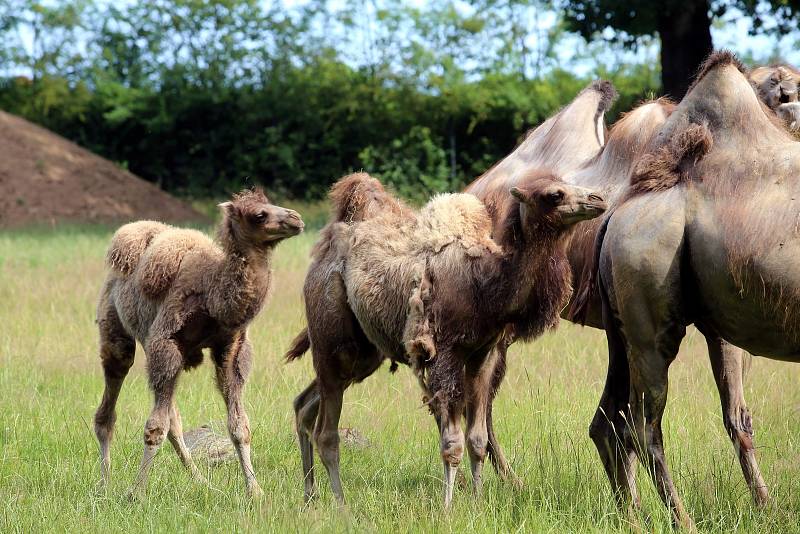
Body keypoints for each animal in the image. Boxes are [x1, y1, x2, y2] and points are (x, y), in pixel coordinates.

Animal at [93, 191, 304, 500]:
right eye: (259, 215)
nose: (296, 218)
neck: (212, 295)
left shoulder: (231, 348)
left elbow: (239, 426)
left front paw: (255, 491)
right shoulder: (166, 343)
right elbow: (154, 428)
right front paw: (137, 493)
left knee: (174, 419)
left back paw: (202, 482)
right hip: (116, 333)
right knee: (108, 410)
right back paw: (105, 484)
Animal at [288, 174, 608, 508]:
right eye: (554, 195)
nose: (598, 199)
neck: (484, 285)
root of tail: (321, 256)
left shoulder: (483, 355)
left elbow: (478, 439)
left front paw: (478, 503)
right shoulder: (445, 354)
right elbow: (452, 442)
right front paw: (447, 507)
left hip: (364, 352)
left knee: (304, 404)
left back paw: (310, 495)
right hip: (331, 338)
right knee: (326, 432)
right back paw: (341, 506)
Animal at [580, 52, 800, 528]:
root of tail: (615, 214)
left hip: (625, 325)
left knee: (611, 418)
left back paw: (635, 517)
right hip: (648, 300)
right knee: (644, 423)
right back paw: (682, 520)